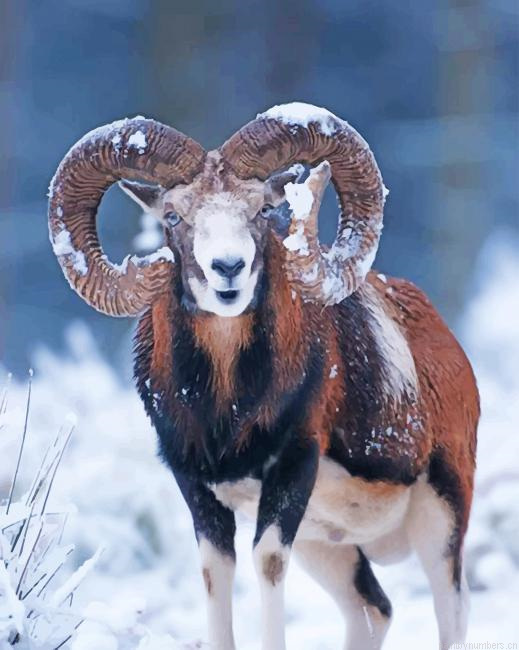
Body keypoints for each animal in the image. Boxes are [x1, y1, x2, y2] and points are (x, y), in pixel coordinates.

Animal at [48, 102, 479, 650]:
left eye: (260, 212)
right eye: (174, 217)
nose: (227, 268)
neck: (226, 411)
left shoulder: (292, 469)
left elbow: (268, 563)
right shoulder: (198, 488)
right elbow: (217, 574)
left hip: (441, 518)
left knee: (453, 613)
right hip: (329, 548)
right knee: (373, 610)